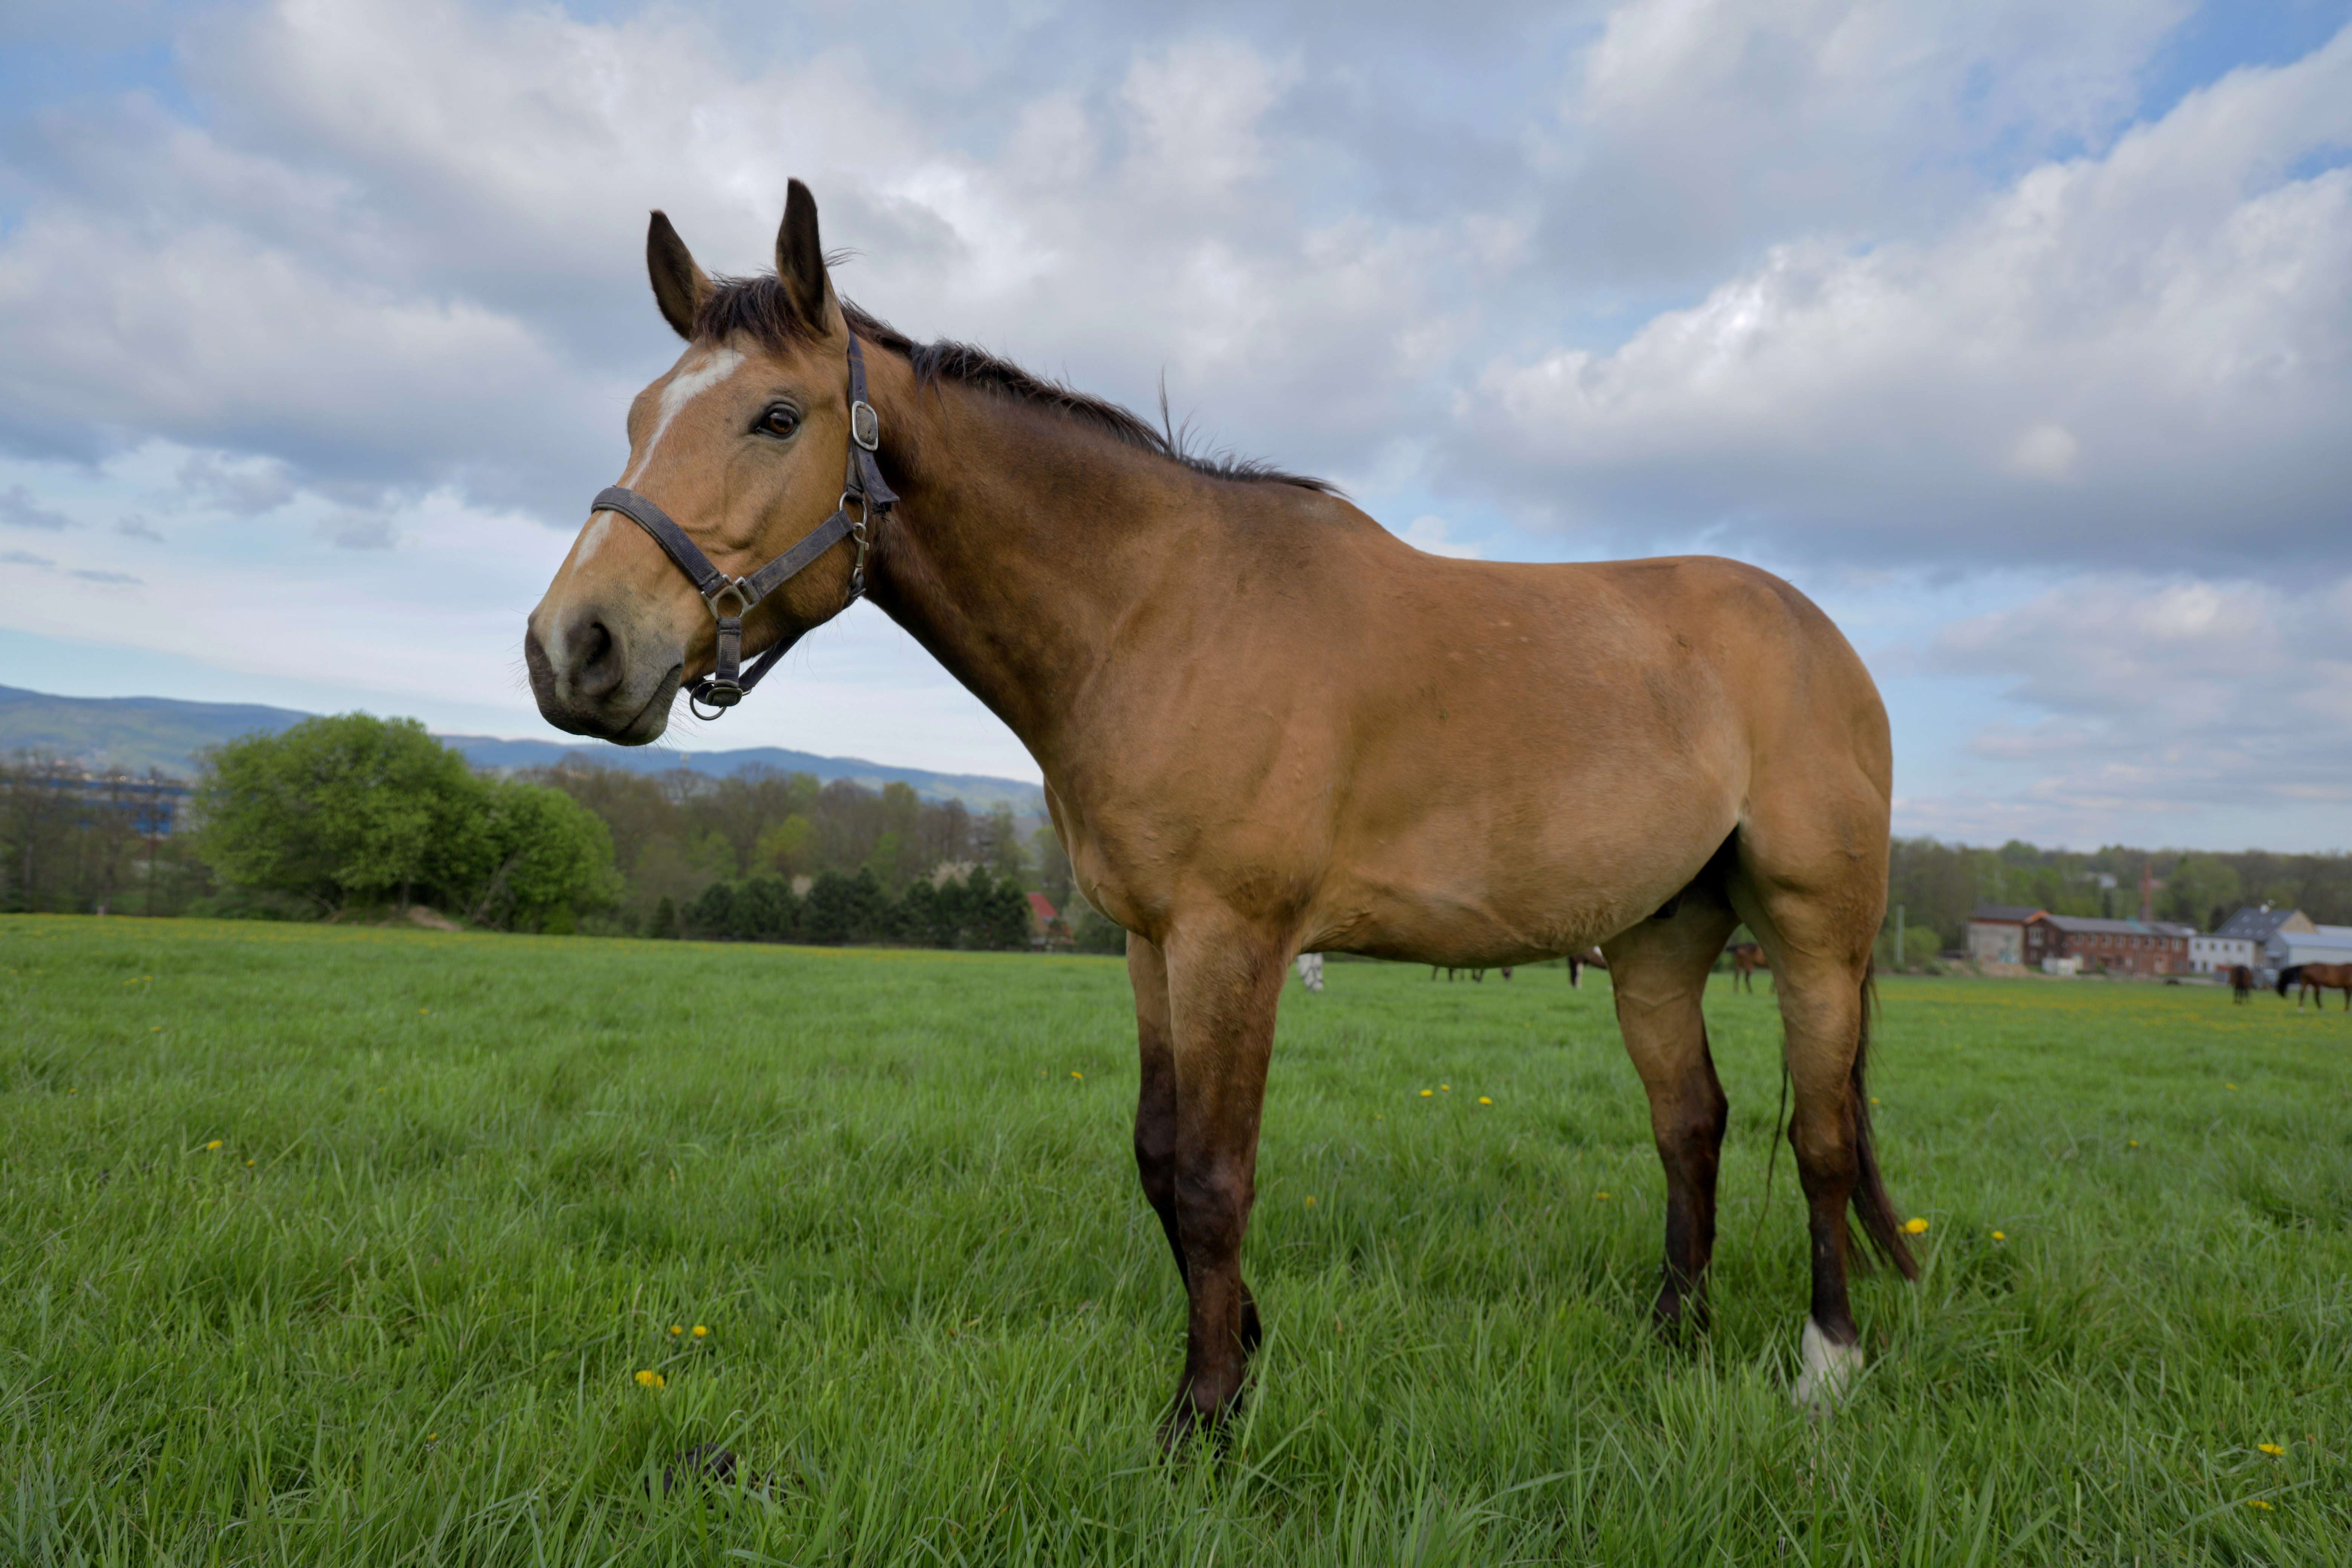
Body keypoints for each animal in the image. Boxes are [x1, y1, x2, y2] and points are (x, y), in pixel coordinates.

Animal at [529, 181, 1909, 1438]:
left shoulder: (1234, 941)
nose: (574, 649)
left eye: (774, 417)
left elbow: (1211, 1174)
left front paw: (1204, 1413)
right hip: (1658, 939)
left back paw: (1827, 1367)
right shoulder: (1152, 943)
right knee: (1693, 1125)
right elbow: (1159, 1156)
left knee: (1821, 1136)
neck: (1158, 611)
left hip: (1812, 933)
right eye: (641, 416)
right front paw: (1243, 1342)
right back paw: (1676, 1337)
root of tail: (1822, 635)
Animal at [2277, 964, 2352, 1011]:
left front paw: (2346, 1009)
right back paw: (2321, 1008)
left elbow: (2347, 997)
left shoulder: (2346, 987)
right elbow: (2348, 998)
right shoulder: (2348, 986)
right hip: (2316, 984)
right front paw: (2347, 1010)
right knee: (2316, 995)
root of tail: (2306, 967)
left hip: (2307, 983)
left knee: (2303, 993)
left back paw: (2302, 1008)